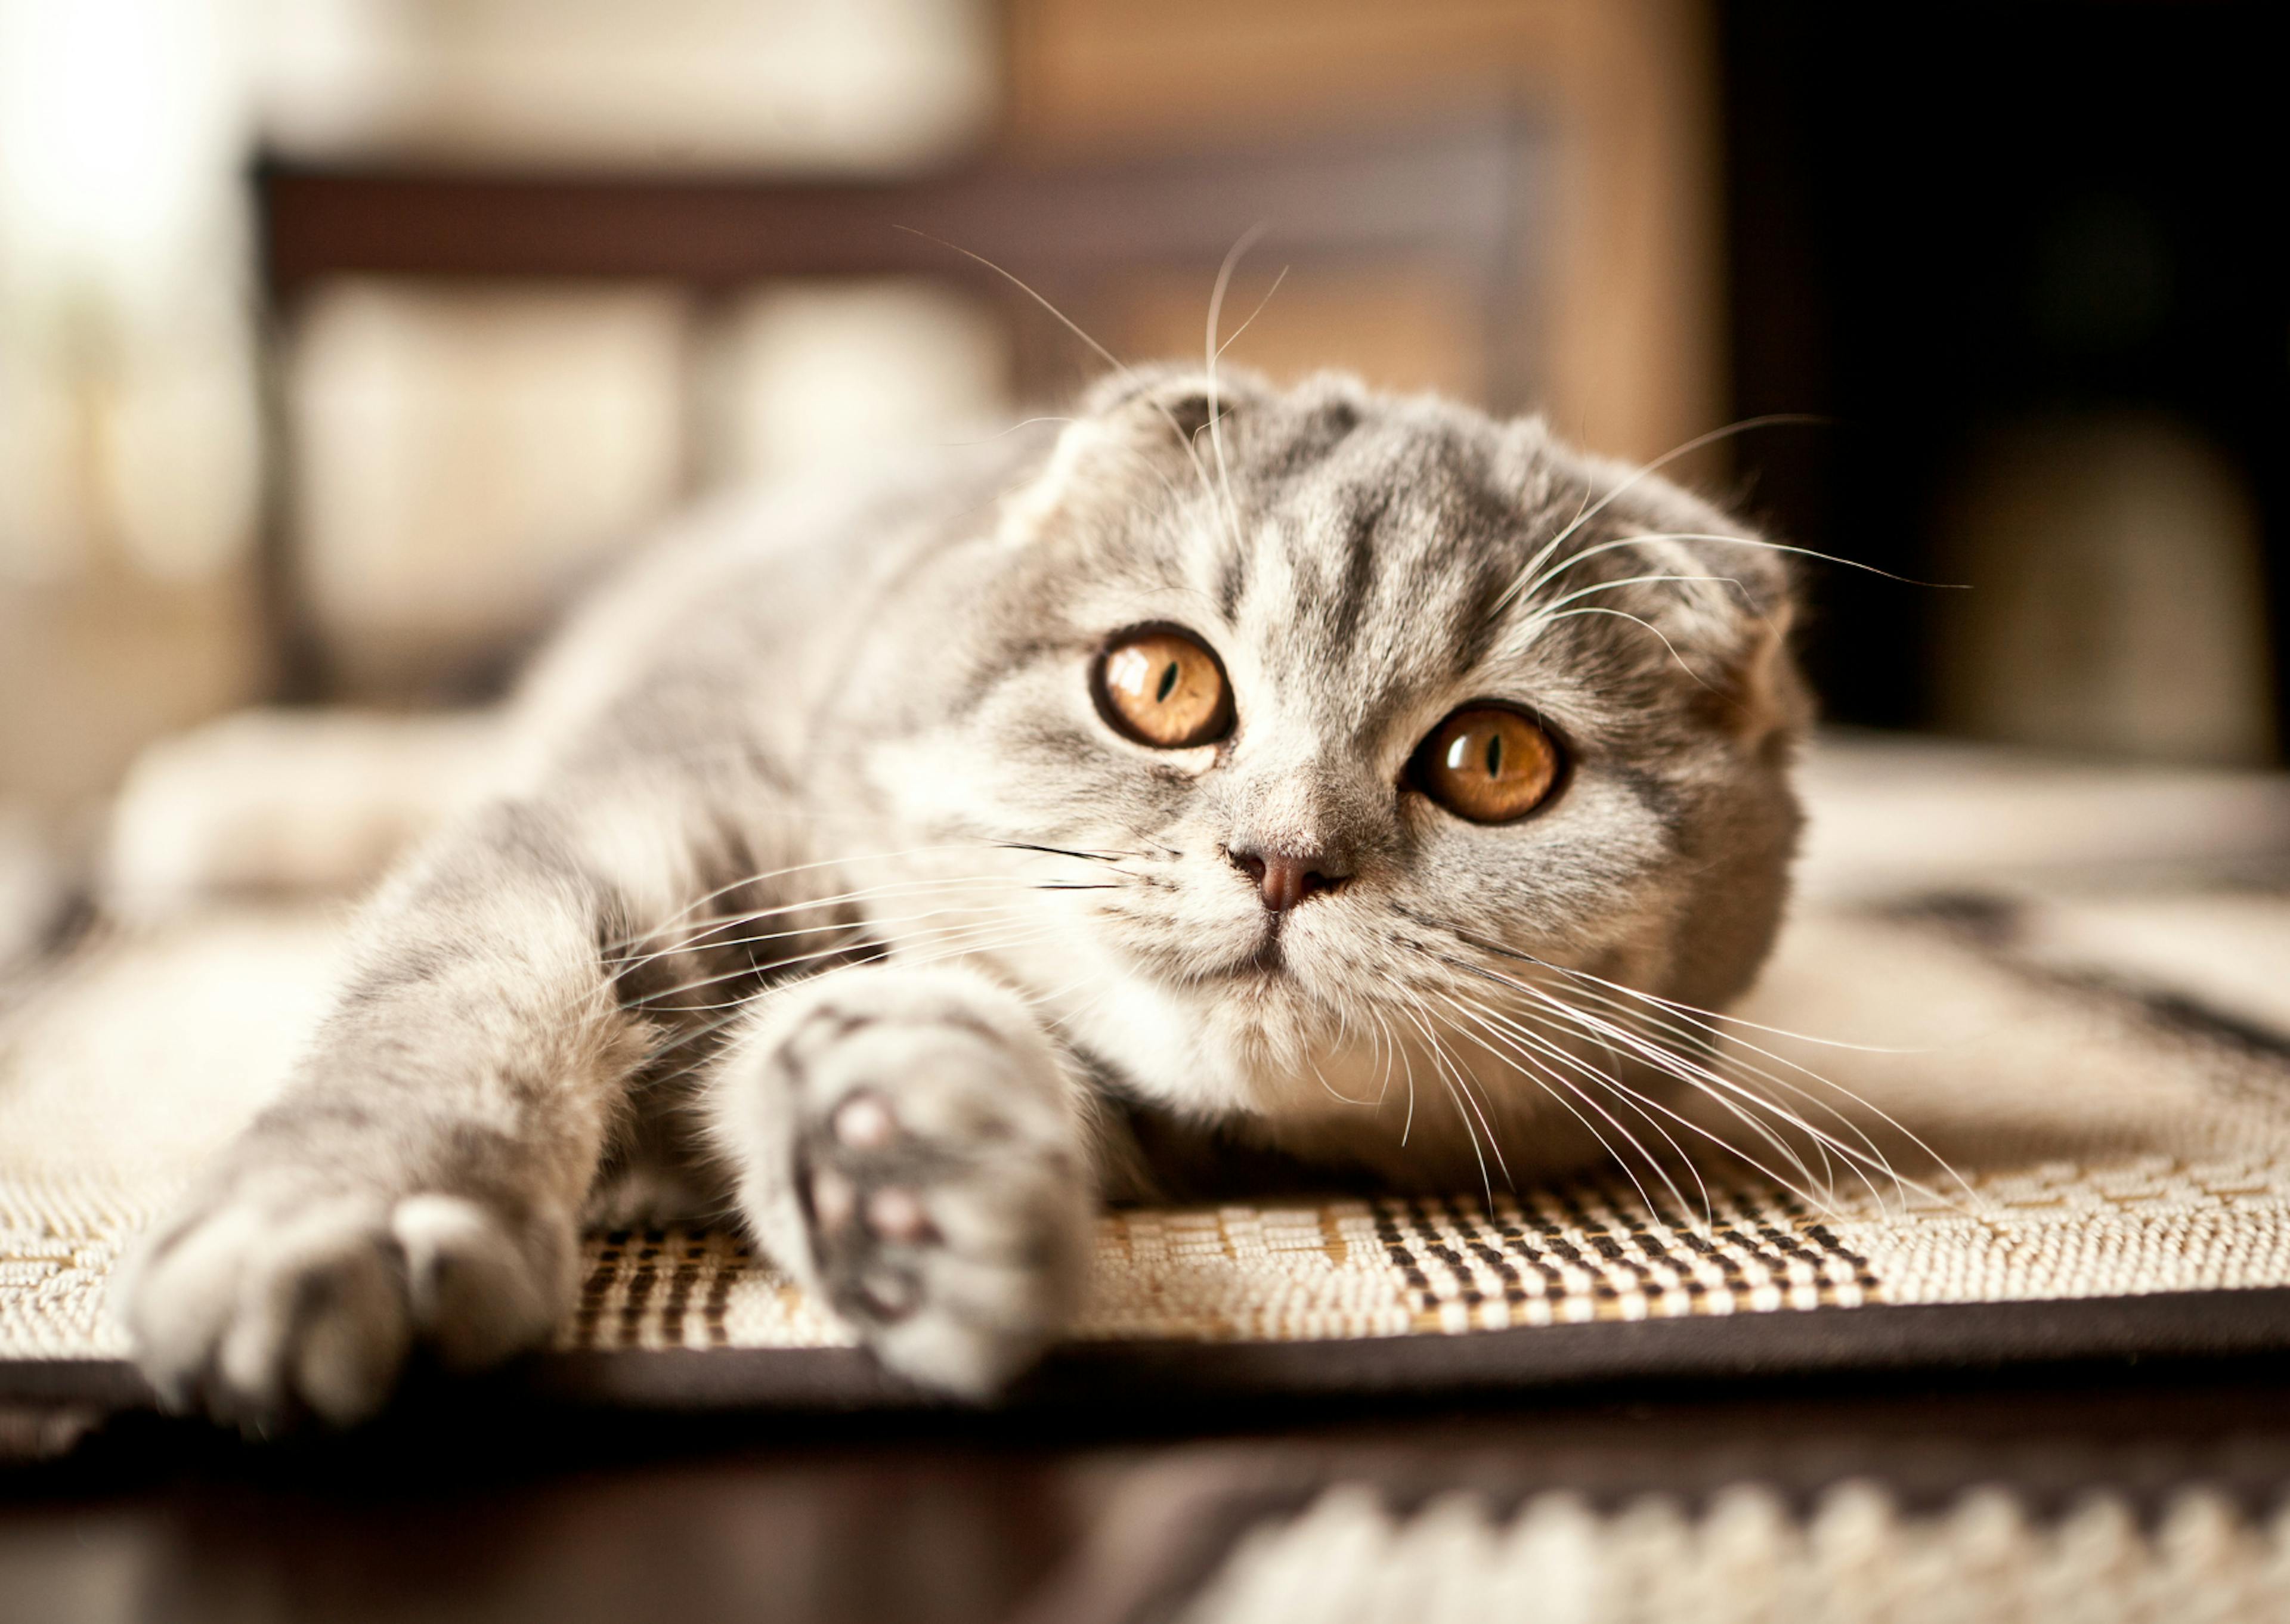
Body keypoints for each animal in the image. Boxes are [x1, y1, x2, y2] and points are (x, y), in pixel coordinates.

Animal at [120, 364, 1804, 1420]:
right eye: (1161, 682)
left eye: (1494, 761)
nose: (1283, 858)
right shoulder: (610, 825)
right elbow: (456, 1003)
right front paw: (338, 1223)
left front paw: (905, 1161)